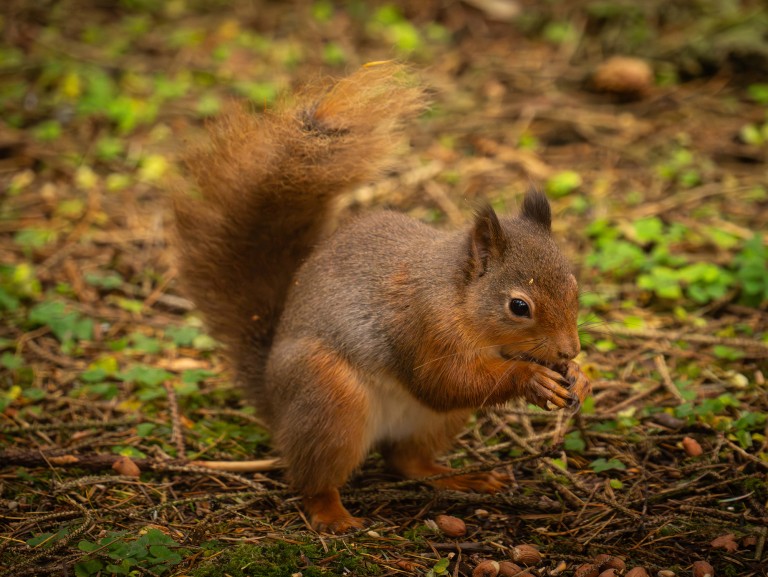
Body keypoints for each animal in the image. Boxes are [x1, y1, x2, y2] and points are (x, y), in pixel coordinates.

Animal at [173, 62, 591, 533]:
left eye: (574, 286)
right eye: (519, 307)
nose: (570, 349)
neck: (457, 297)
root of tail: (272, 395)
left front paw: (578, 377)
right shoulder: (422, 327)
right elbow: (444, 382)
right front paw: (532, 379)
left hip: (433, 424)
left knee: (407, 461)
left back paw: (464, 478)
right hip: (329, 402)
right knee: (313, 478)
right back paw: (333, 515)